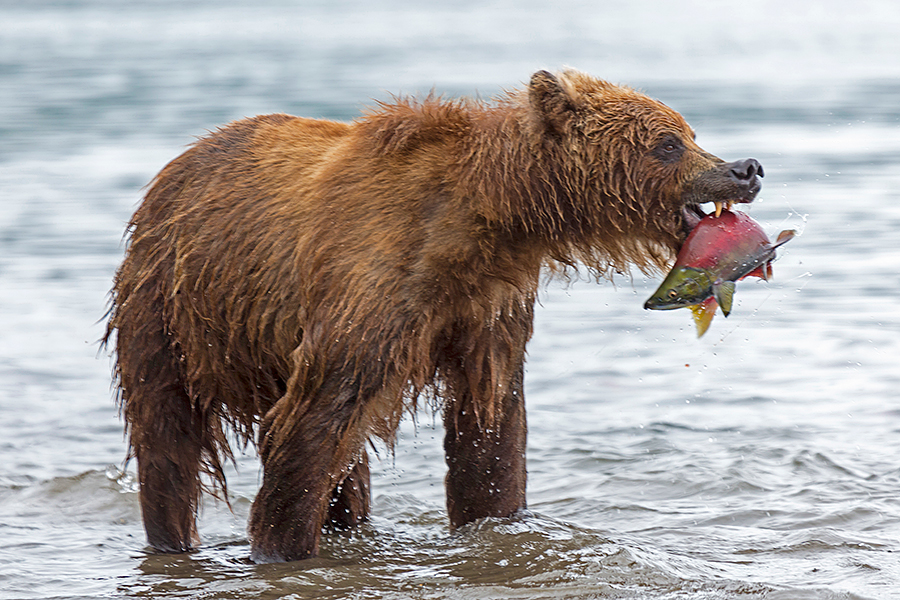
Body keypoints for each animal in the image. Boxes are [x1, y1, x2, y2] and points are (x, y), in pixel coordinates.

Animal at [109, 70, 764, 564]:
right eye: (668, 142)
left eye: (690, 131)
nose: (746, 167)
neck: (486, 218)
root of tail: (179, 163)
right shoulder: (371, 281)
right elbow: (314, 419)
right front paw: (280, 548)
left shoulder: (486, 309)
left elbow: (490, 423)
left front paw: (496, 520)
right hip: (172, 305)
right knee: (167, 438)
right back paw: (171, 535)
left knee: (348, 473)